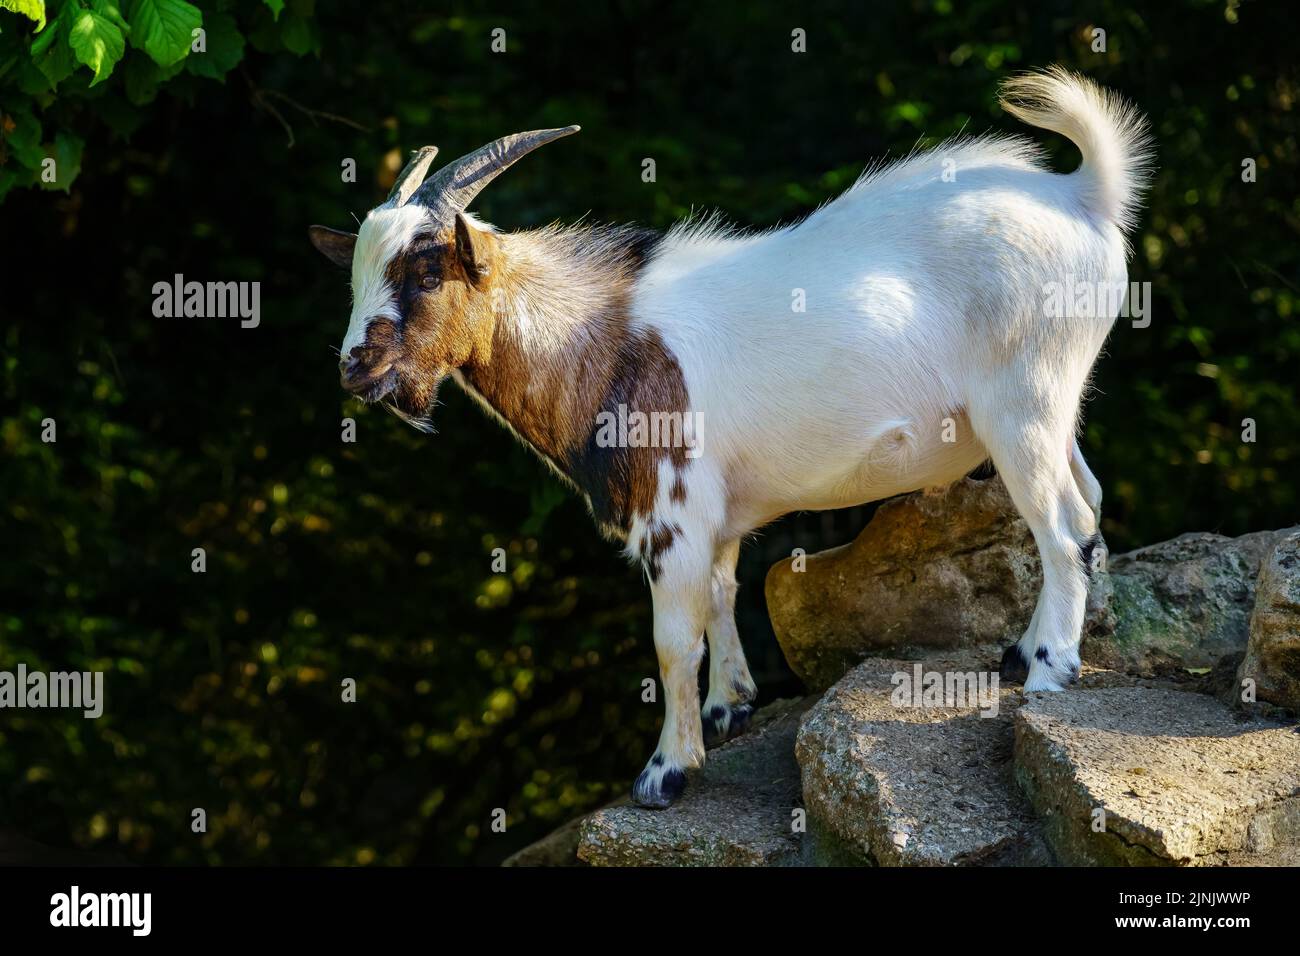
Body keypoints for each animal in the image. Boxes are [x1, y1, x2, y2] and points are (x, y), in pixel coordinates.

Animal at [309, 67, 1152, 808]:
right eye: (352, 275)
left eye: (427, 271)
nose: (353, 366)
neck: (600, 337)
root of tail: (1083, 196)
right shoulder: (714, 515)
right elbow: (722, 596)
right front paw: (728, 708)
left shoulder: (671, 513)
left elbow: (673, 639)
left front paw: (666, 773)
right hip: (1057, 405)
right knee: (1089, 500)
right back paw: (1038, 647)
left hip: (1023, 401)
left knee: (1063, 526)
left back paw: (1049, 669)